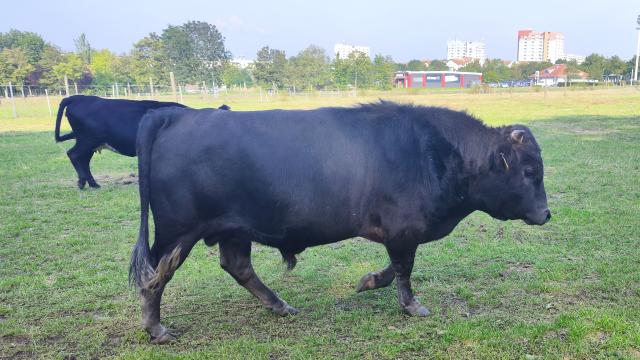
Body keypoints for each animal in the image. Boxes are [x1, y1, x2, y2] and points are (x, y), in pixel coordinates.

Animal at [55, 94, 230, 190]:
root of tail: (77, 97)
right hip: (87, 140)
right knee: (74, 155)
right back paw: (83, 183)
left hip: (90, 143)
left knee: (83, 160)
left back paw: (92, 183)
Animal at [130, 101, 552, 344]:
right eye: (530, 171)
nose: (546, 213)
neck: (438, 151)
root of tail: (176, 114)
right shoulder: (404, 230)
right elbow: (404, 269)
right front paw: (411, 305)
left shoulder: (399, 233)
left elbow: (393, 268)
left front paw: (369, 281)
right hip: (178, 233)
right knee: (154, 278)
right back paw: (156, 329)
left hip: (233, 229)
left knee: (237, 267)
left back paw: (279, 306)